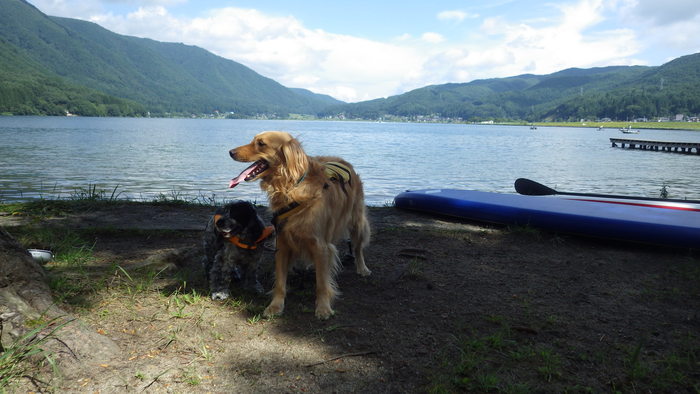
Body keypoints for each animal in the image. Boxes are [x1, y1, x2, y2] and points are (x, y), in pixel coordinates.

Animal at [230, 131, 372, 318]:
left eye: (261, 143)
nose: (230, 152)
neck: (290, 188)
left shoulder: (321, 245)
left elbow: (322, 282)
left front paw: (323, 307)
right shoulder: (282, 243)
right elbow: (280, 281)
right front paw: (275, 306)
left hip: (357, 222)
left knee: (357, 247)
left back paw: (362, 268)